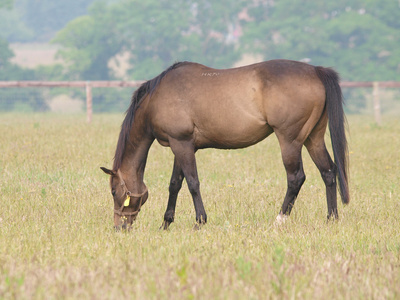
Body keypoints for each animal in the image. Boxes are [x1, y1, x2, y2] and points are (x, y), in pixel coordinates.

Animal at [101, 59, 348, 231]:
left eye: (114, 191)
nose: (119, 227)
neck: (156, 99)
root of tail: (316, 70)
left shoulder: (181, 144)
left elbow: (192, 183)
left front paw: (199, 222)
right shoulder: (181, 145)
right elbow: (175, 184)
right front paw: (166, 223)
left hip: (290, 140)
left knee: (296, 178)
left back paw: (279, 219)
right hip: (313, 138)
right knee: (328, 171)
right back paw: (332, 219)